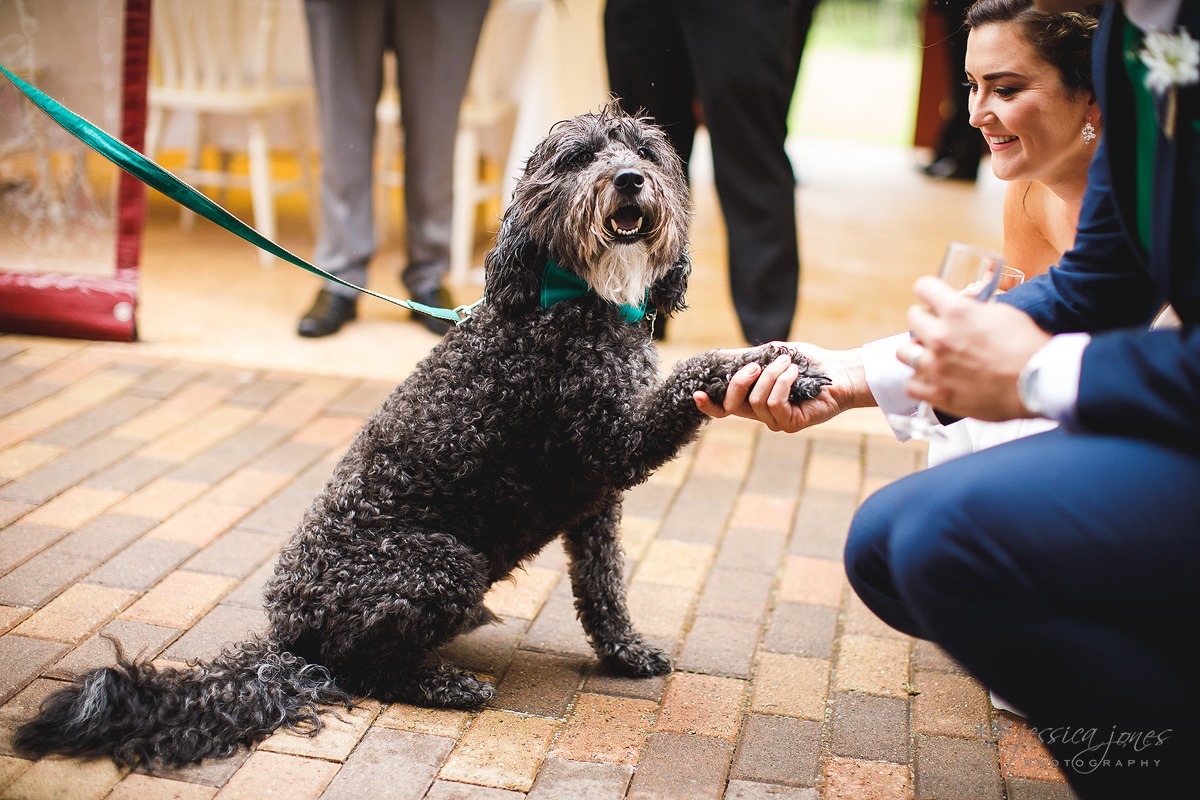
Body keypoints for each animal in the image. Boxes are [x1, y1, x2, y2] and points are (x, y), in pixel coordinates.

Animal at [14, 103, 830, 767]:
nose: (629, 180)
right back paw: (444, 682)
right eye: (576, 158)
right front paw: (773, 362)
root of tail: (289, 635)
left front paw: (625, 653)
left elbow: (603, 589)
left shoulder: (596, 503)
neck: (573, 298)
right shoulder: (613, 440)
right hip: (442, 562)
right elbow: (697, 370)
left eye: (646, 150)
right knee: (370, 671)